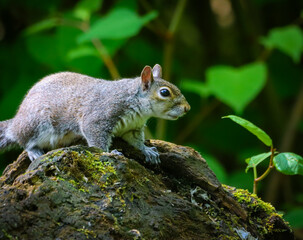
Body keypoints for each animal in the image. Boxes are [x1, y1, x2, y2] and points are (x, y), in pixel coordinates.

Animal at [0, 64, 190, 164]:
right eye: (164, 92)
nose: (187, 108)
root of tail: (17, 120)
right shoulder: (98, 118)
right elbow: (97, 140)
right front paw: (109, 153)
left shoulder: (132, 128)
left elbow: (136, 141)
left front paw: (147, 150)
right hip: (36, 123)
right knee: (22, 138)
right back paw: (33, 151)